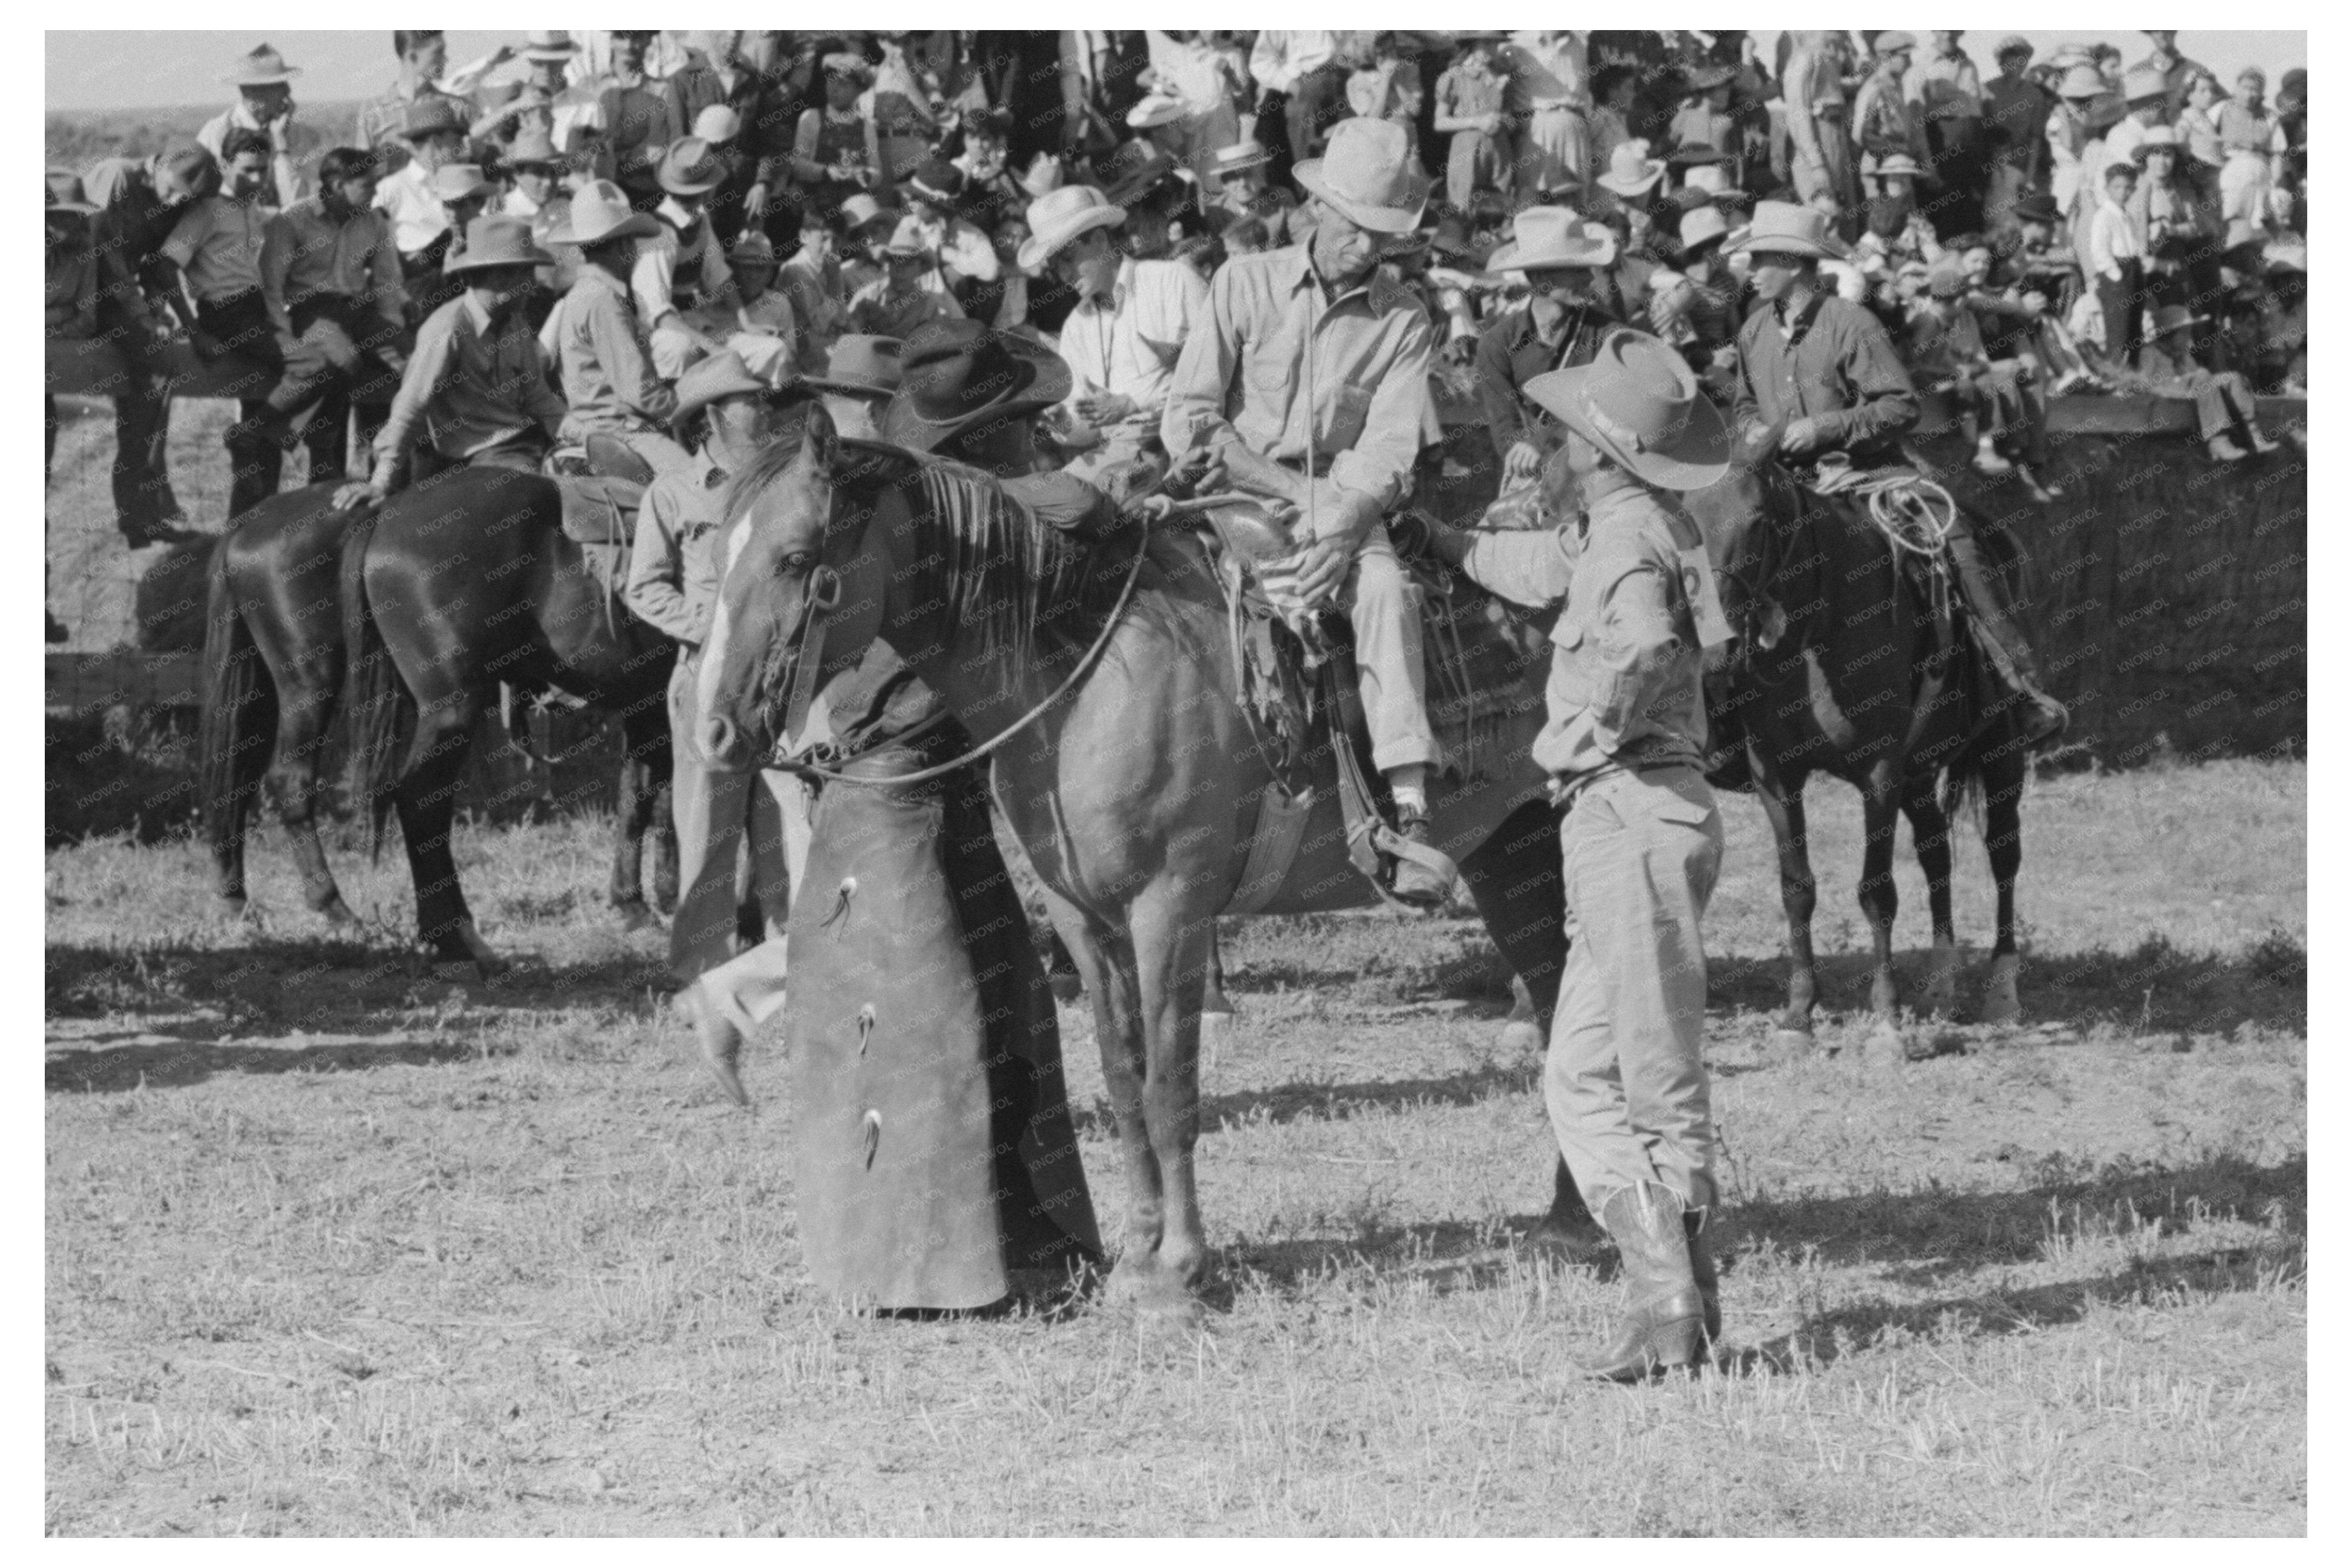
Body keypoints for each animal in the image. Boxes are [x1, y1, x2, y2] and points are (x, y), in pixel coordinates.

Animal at [198, 465, 677, 964]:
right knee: (402, 796)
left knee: (242, 778)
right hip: (394, 695)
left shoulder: (648, 704)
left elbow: (642, 796)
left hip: (278, 685)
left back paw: (245, 902)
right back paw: (439, 931)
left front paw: (639, 902)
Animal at [691, 404, 1580, 1316]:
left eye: (796, 558)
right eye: (716, 553)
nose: (714, 730)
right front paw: (1137, 1256)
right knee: (1556, 1004)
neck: (1077, 672)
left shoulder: (1171, 906)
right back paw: (1569, 1219)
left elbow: (1170, 1089)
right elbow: (1123, 1080)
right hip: (1513, 853)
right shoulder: (1084, 917)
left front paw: (1181, 1272)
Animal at [1684, 425, 2032, 1053]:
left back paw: (2001, 991)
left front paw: (1887, 1019)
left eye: (1757, 520)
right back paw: (1941, 987)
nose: (1715, 651)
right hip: (1920, 771)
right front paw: (1798, 1015)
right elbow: (1797, 887)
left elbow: (1877, 890)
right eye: (1685, 517)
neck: (1817, 634)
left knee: (2004, 855)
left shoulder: (1880, 772)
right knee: (1937, 855)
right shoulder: (1776, 772)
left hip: (2002, 750)